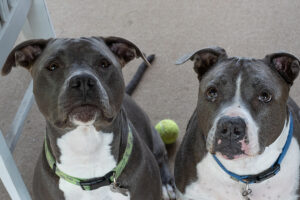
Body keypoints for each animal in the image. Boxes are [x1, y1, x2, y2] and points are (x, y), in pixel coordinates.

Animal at [1, 36, 176, 200]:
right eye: (53, 66)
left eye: (104, 63)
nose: (82, 80)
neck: (86, 148)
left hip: (154, 137)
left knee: (162, 156)